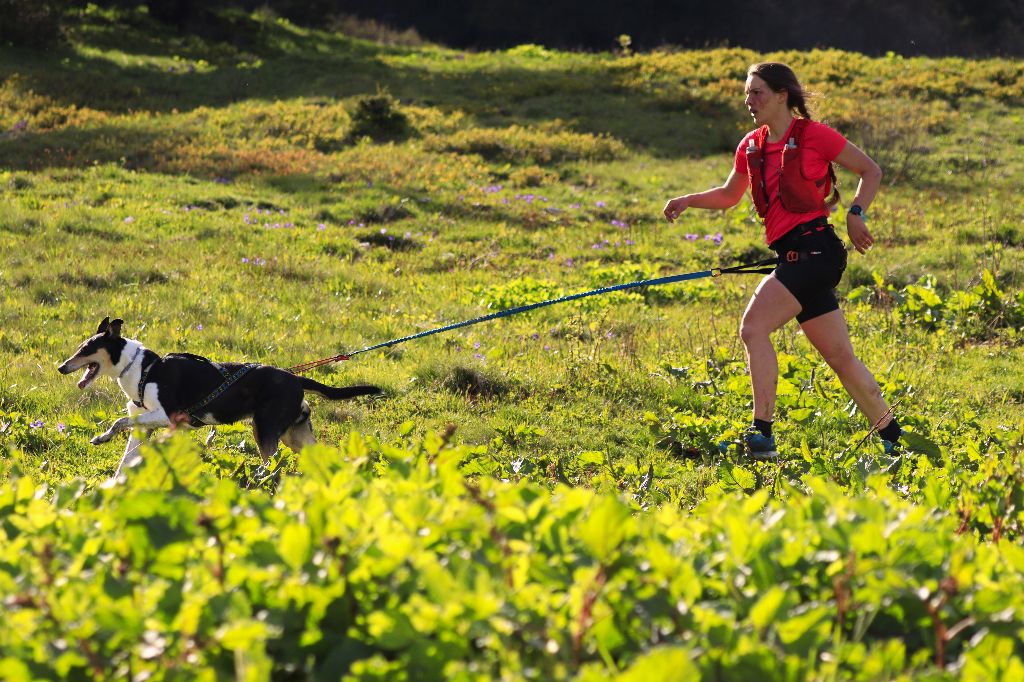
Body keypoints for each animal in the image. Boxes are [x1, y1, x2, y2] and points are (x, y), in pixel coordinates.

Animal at [56, 315, 378, 475]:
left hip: (265, 430)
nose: (61, 367)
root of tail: (295, 378)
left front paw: (102, 437)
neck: (143, 368)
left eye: (86, 348)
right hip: (296, 436)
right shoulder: (142, 423)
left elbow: (118, 422)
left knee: (272, 465)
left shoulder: (167, 415)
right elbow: (126, 456)